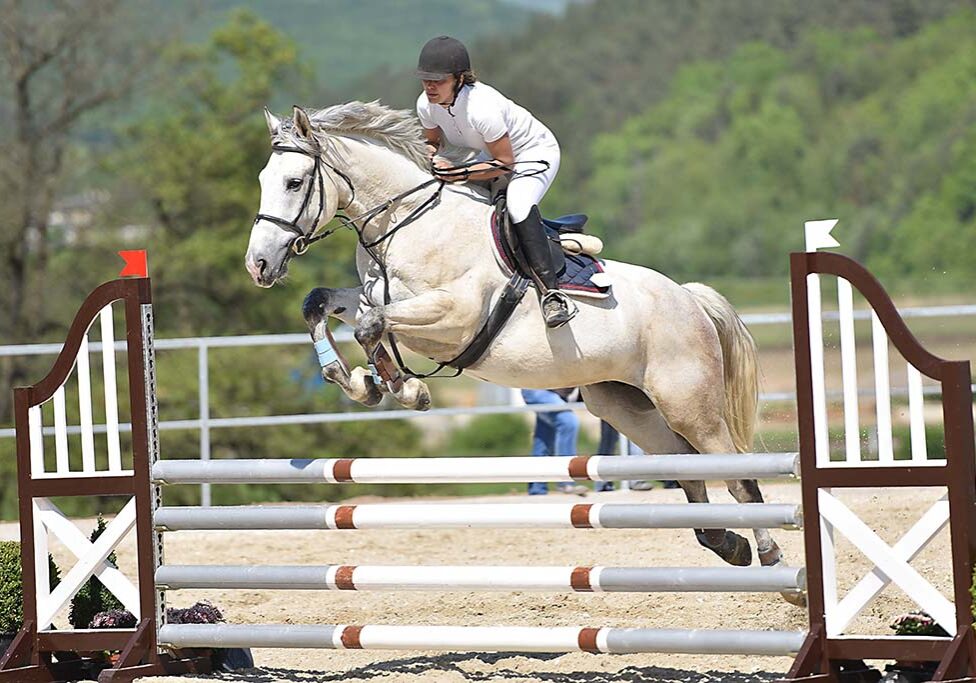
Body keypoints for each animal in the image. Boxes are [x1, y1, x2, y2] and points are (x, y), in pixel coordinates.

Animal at [244, 100, 800, 600]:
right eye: (263, 179)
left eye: (294, 182)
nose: (258, 265)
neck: (406, 223)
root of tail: (688, 298)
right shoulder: (377, 297)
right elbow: (324, 305)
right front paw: (359, 381)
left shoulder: (456, 315)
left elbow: (371, 324)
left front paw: (402, 387)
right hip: (625, 404)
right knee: (685, 464)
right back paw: (726, 543)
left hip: (689, 401)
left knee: (737, 476)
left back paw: (774, 562)